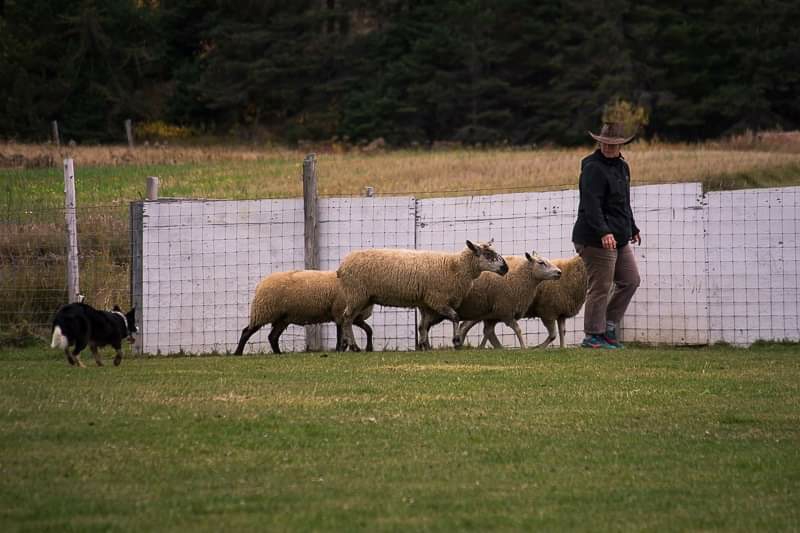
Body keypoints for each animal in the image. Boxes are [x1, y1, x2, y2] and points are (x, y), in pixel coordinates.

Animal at [233, 270, 374, 354]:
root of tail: (260, 285)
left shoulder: (354, 317)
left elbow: (368, 329)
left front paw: (367, 348)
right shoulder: (339, 312)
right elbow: (341, 333)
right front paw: (339, 349)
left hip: (282, 318)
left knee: (272, 337)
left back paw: (278, 353)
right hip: (264, 311)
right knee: (246, 332)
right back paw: (238, 353)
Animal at [334, 240, 510, 350]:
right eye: (488, 255)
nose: (505, 268)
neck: (455, 267)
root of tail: (341, 267)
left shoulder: (427, 303)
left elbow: (422, 326)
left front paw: (425, 345)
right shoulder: (438, 299)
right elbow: (455, 317)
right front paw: (456, 341)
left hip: (364, 297)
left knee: (348, 319)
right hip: (356, 294)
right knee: (347, 318)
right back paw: (354, 346)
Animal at [424, 250, 564, 350]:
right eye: (541, 263)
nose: (559, 272)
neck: (519, 277)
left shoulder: (494, 313)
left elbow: (488, 332)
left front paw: (491, 348)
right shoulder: (505, 310)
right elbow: (517, 329)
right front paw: (524, 347)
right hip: (439, 306)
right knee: (426, 325)